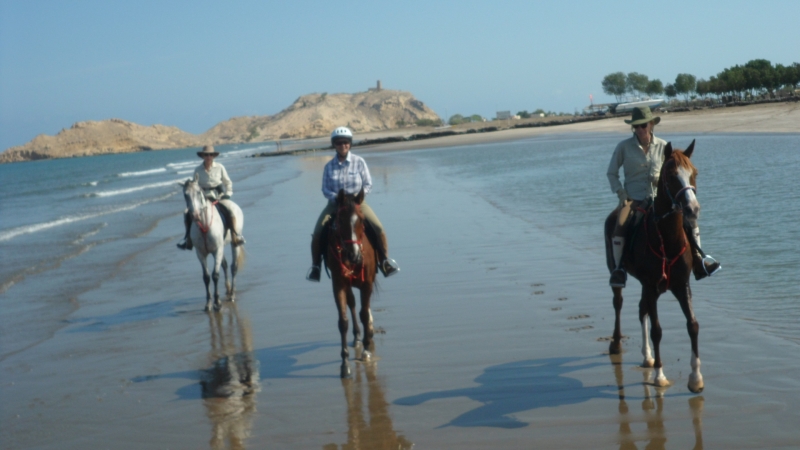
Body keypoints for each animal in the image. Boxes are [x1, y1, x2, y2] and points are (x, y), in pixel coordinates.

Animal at [183, 174, 245, 312]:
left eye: (199, 192)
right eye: (185, 195)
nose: (195, 215)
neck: (204, 225)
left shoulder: (217, 250)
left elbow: (215, 275)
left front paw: (217, 303)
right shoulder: (201, 253)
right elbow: (206, 277)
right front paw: (208, 304)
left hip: (233, 244)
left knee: (233, 267)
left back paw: (232, 294)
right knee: (225, 265)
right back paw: (228, 290)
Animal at [322, 188, 378, 378]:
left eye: (360, 220)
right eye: (340, 220)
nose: (353, 254)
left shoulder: (367, 283)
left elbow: (364, 313)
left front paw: (367, 349)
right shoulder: (339, 285)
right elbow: (343, 321)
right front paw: (345, 364)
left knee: (363, 308)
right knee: (352, 303)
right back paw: (357, 336)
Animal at [608, 141, 708, 394]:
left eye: (694, 173)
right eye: (671, 176)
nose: (692, 209)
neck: (667, 238)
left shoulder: (681, 285)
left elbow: (693, 325)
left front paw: (696, 378)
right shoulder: (652, 286)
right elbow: (657, 330)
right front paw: (659, 376)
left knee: (641, 309)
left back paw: (647, 357)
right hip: (620, 277)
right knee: (618, 303)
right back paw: (616, 344)